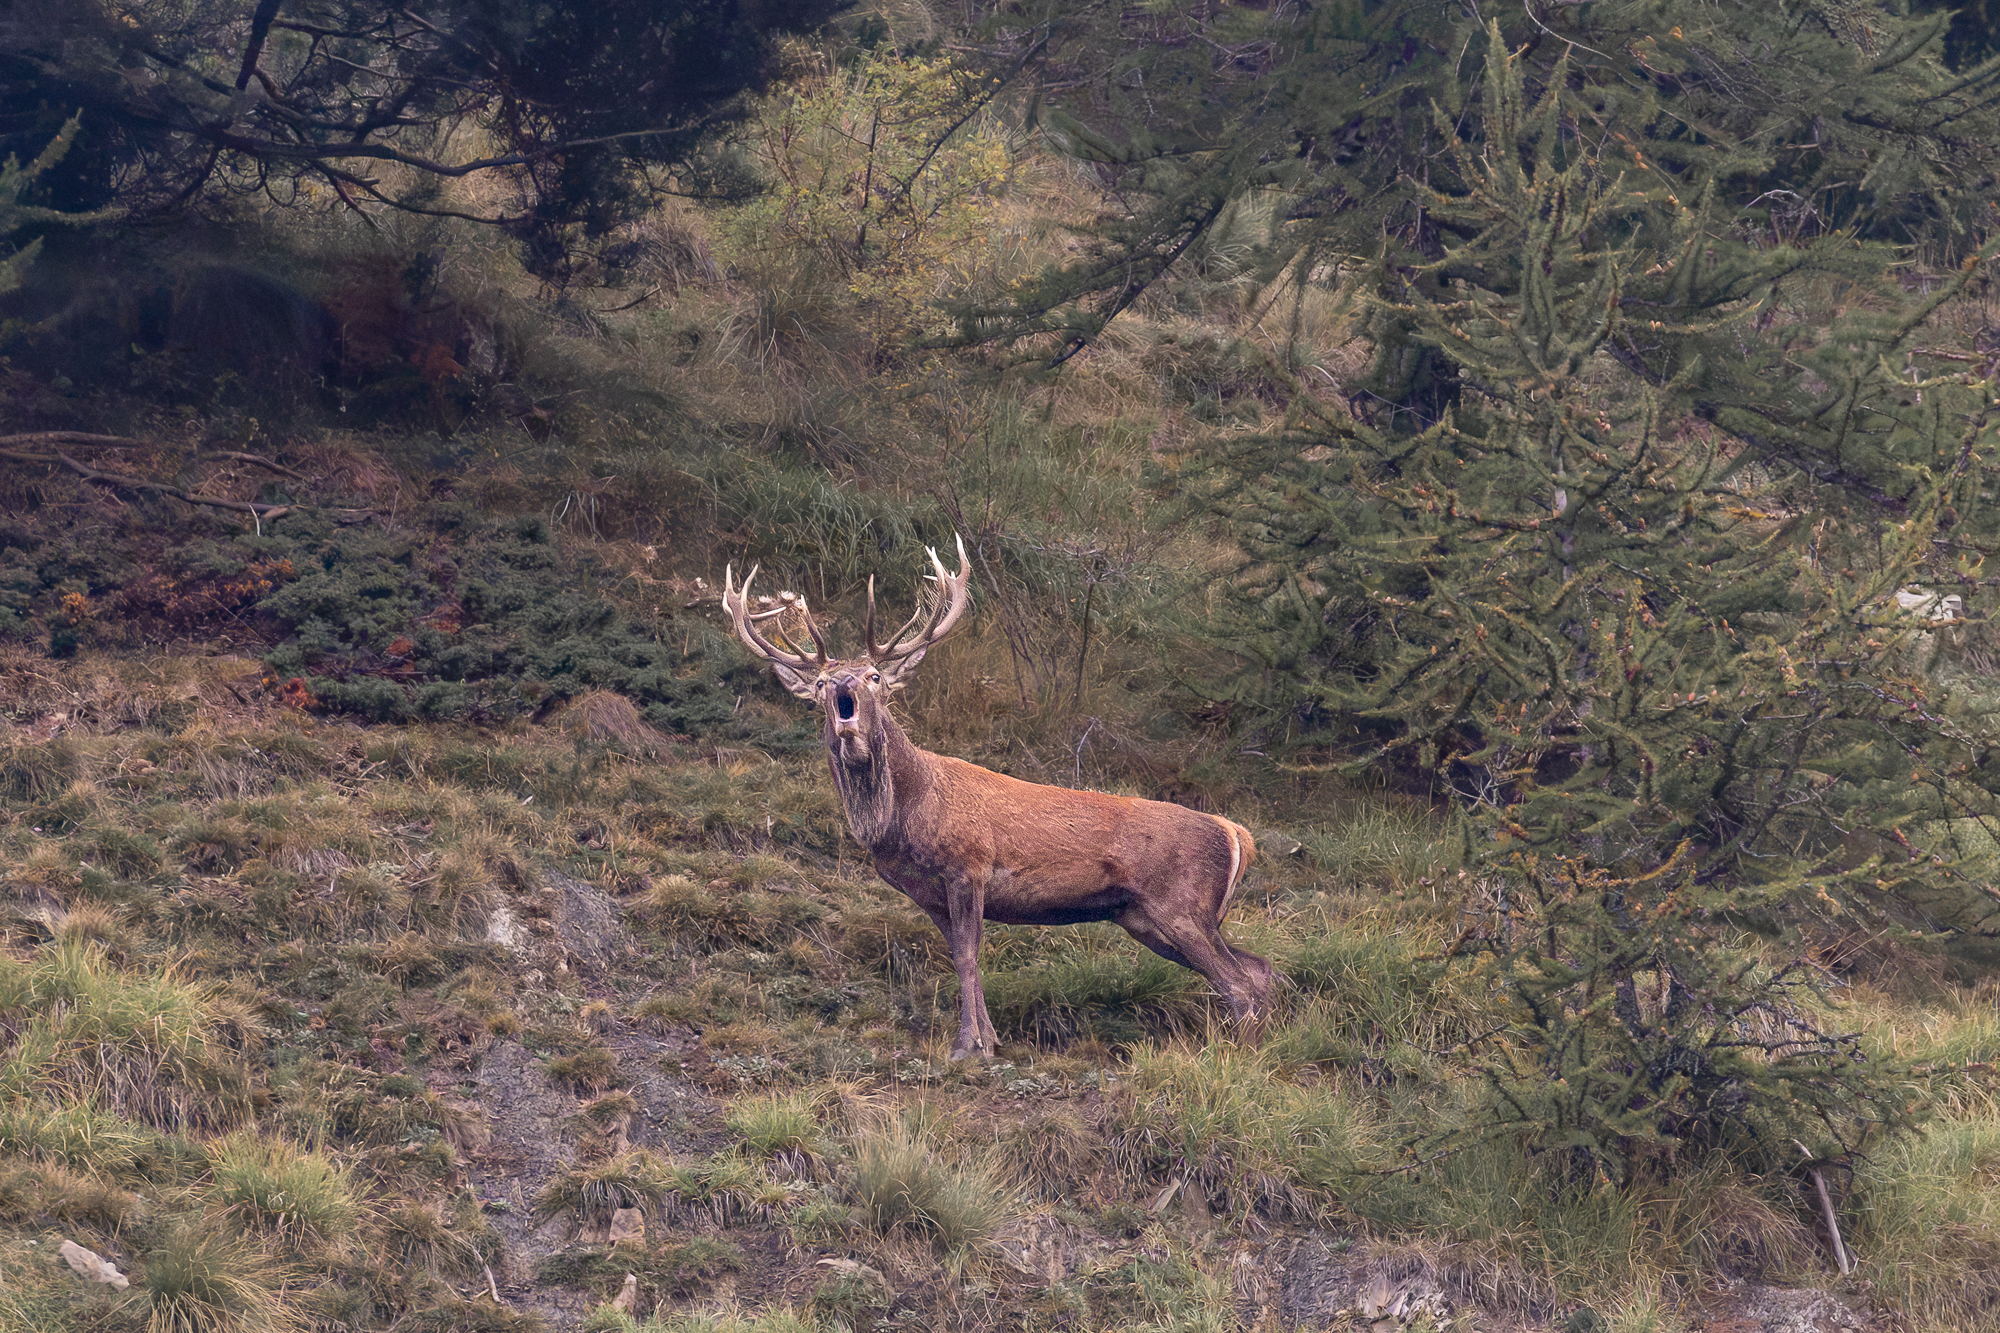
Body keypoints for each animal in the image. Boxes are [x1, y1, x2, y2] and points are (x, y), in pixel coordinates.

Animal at [721, 537, 1272, 1060]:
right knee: (1258, 967)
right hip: (1145, 916)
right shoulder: (926, 891)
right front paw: (988, 1039)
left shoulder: (969, 865)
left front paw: (970, 1046)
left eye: (876, 676)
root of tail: (1235, 833)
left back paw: (1236, 1058)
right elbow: (959, 956)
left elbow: (969, 955)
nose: (842, 682)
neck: (903, 820)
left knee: (1239, 981)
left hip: (1180, 903)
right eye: (817, 682)